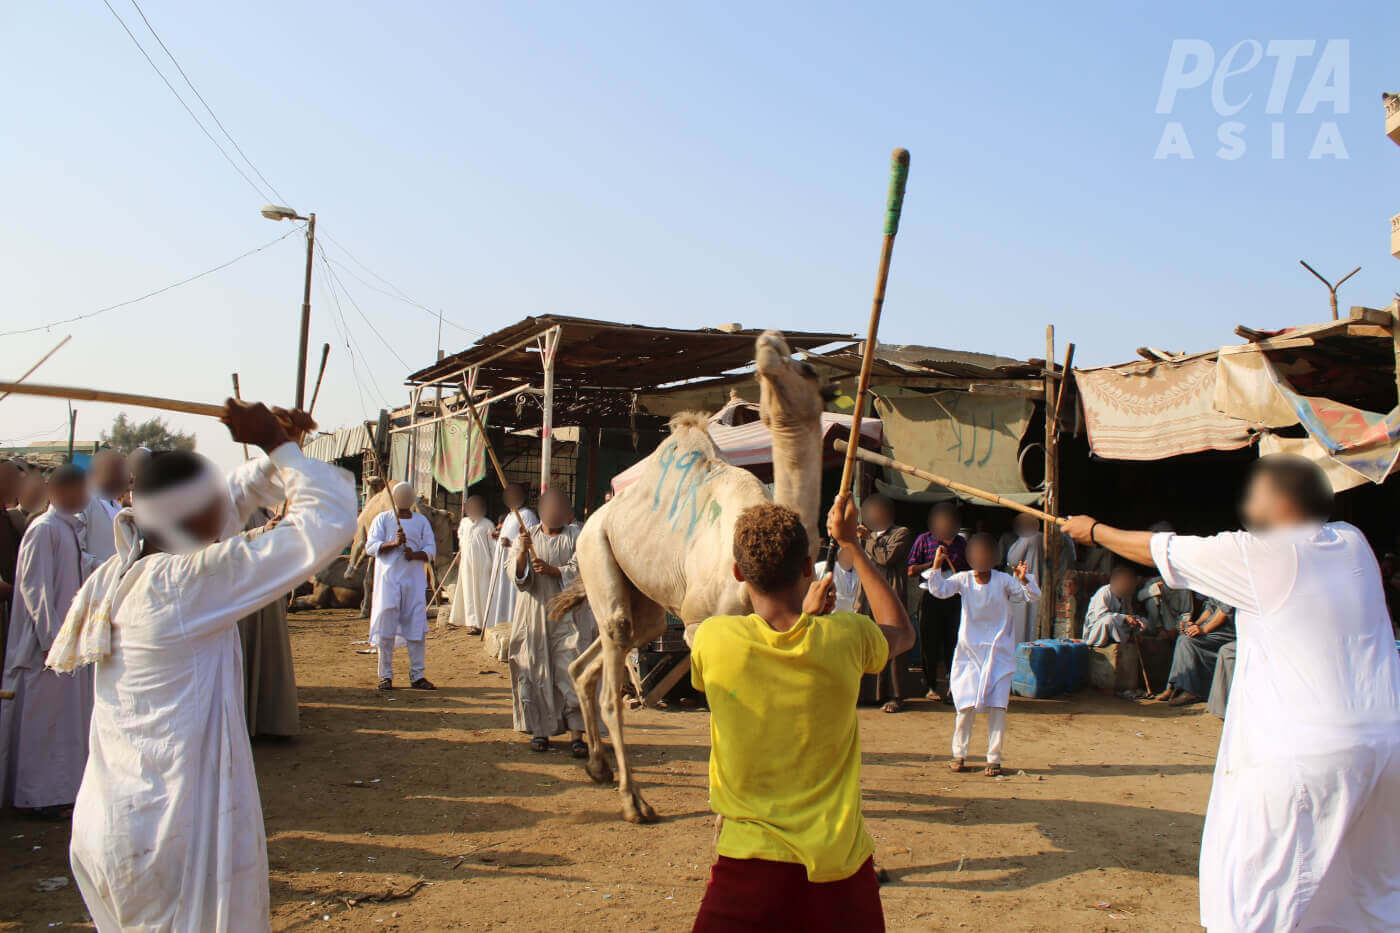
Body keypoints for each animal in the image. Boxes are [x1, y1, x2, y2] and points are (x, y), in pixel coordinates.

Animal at [548, 329, 828, 823]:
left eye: (809, 369)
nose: (769, 343)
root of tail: (595, 515)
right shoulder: (701, 625)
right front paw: (724, 813)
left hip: (644, 603)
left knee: (595, 661)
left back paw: (599, 768)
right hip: (595, 552)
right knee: (611, 670)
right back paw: (634, 802)